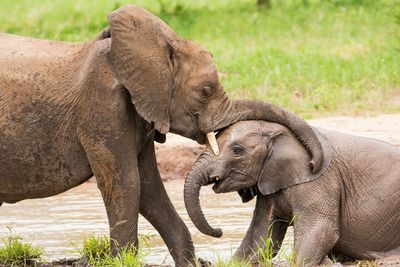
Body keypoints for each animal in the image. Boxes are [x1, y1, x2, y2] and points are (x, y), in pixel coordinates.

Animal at [184, 121, 400, 266]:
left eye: (238, 150)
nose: (219, 231)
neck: (282, 132)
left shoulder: (318, 180)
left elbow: (322, 230)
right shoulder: (270, 178)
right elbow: (262, 237)